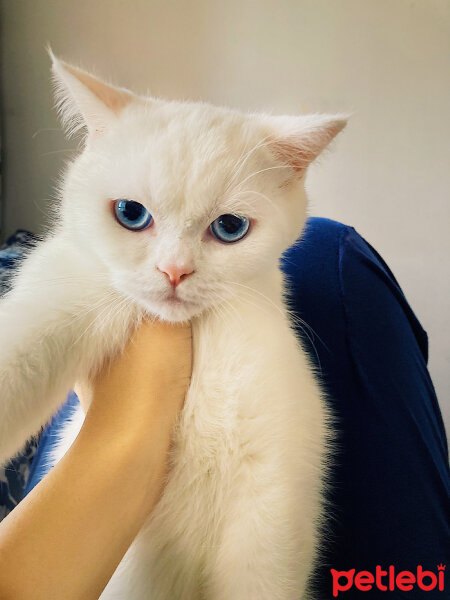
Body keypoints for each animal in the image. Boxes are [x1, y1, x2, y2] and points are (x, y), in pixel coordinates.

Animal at [0, 54, 344, 596]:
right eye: (130, 213)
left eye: (230, 227)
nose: (175, 271)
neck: (203, 339)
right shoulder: (67, 278)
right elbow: (23, 346)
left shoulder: (271, 494)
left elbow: (262, 568)